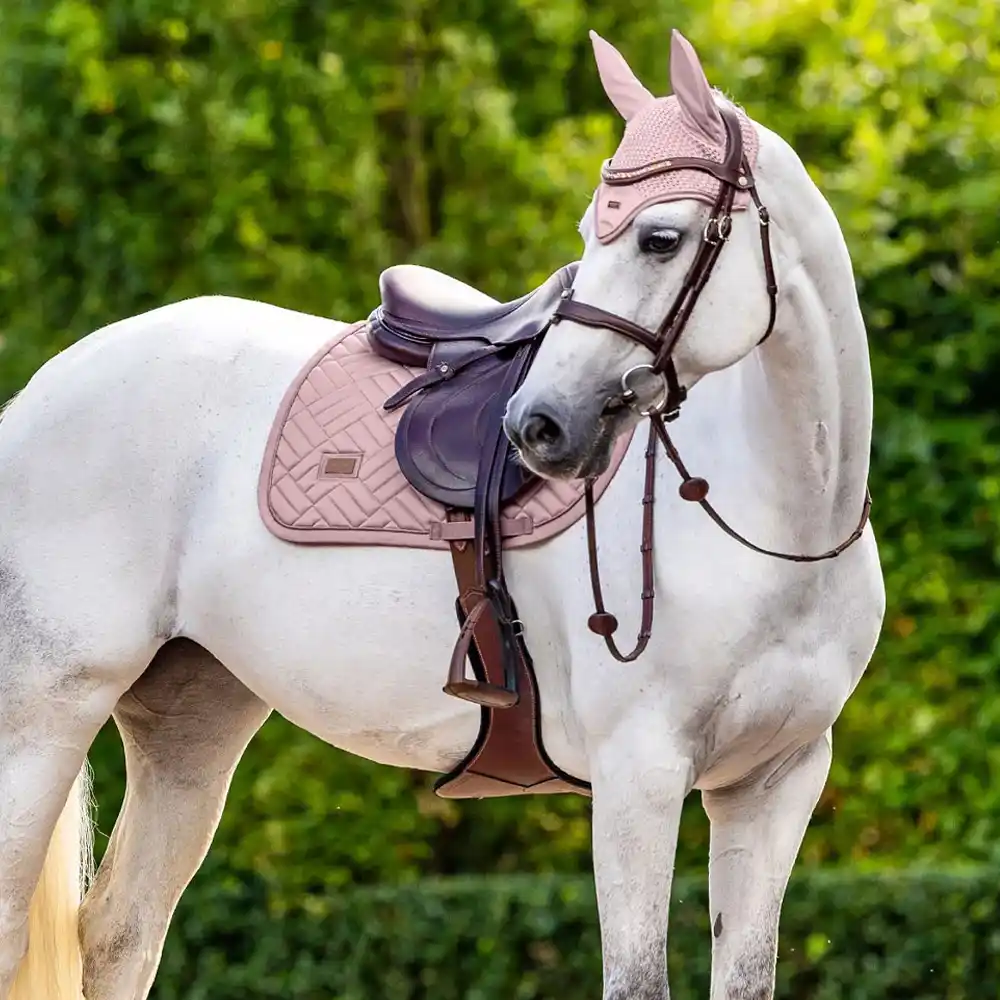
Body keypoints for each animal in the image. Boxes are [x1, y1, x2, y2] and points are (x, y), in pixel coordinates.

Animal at [0, 25, 883, 1000]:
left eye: (660, 238)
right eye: (593, 233)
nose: (537, 426)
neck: (776, 525)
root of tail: (42, 390)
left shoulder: (772, 785)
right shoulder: (639, 775)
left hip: (190, 724)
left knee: (122, 932)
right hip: (42, 715)